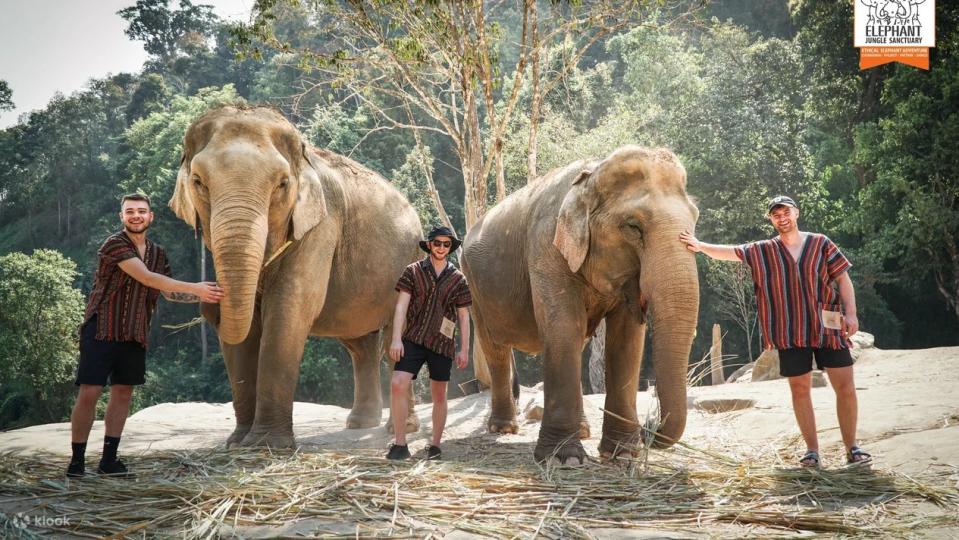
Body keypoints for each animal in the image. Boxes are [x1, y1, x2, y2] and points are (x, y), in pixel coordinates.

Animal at [168, 105, 420, 448]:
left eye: (282, 184)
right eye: (198, 181)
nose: (209, 305)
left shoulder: (321, 226)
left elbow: (289, 308)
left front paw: (266, 445)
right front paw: (237, 443)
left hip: (410, 262)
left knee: (396, 337)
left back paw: (401, 429)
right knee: (360, 344)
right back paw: (360, 424)